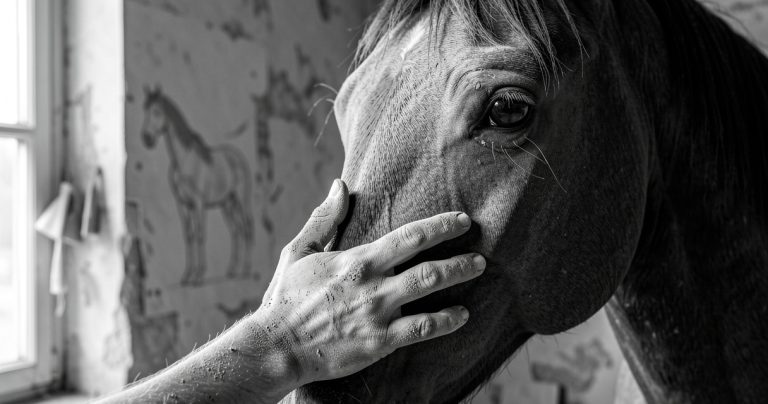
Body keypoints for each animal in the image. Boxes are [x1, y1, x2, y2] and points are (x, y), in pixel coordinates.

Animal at [141, 87, 255, 286]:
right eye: (144, 110)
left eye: (156, 112)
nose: (147, 138)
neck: (185, 161)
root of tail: (237, 156)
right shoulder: (183, 204)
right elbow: (189, 236)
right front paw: (187, 276)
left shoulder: (198, 203)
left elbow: (201, 234)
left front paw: (198, 276)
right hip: (227, 204)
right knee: (236, 230)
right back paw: (233, 271)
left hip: (241, 200)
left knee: (247, 228)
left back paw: (246, 270)